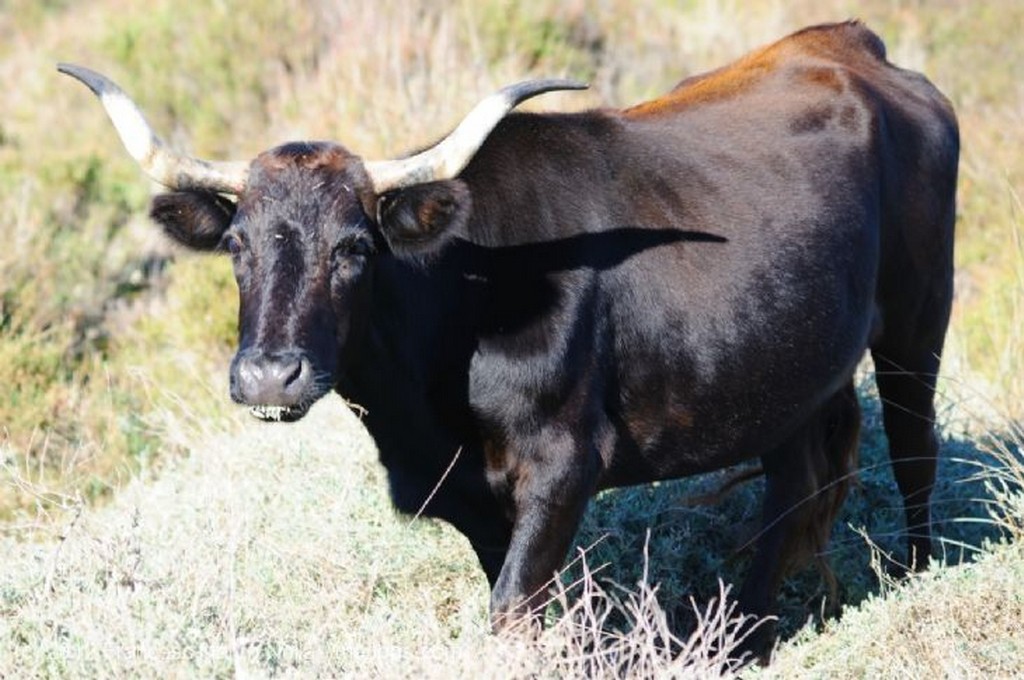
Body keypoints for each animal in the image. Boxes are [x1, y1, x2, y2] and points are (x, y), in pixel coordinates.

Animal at [61, 22, 958, 643]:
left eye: (355, 248)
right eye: (237, 248)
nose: (268, 375)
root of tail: (849, 43)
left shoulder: (564, 465)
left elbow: (511, 612)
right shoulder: (469, 495)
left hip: (918, 323)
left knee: (913, 454)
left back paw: (912, 578)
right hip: (789, 369)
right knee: (791, 487)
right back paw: (747, 637)